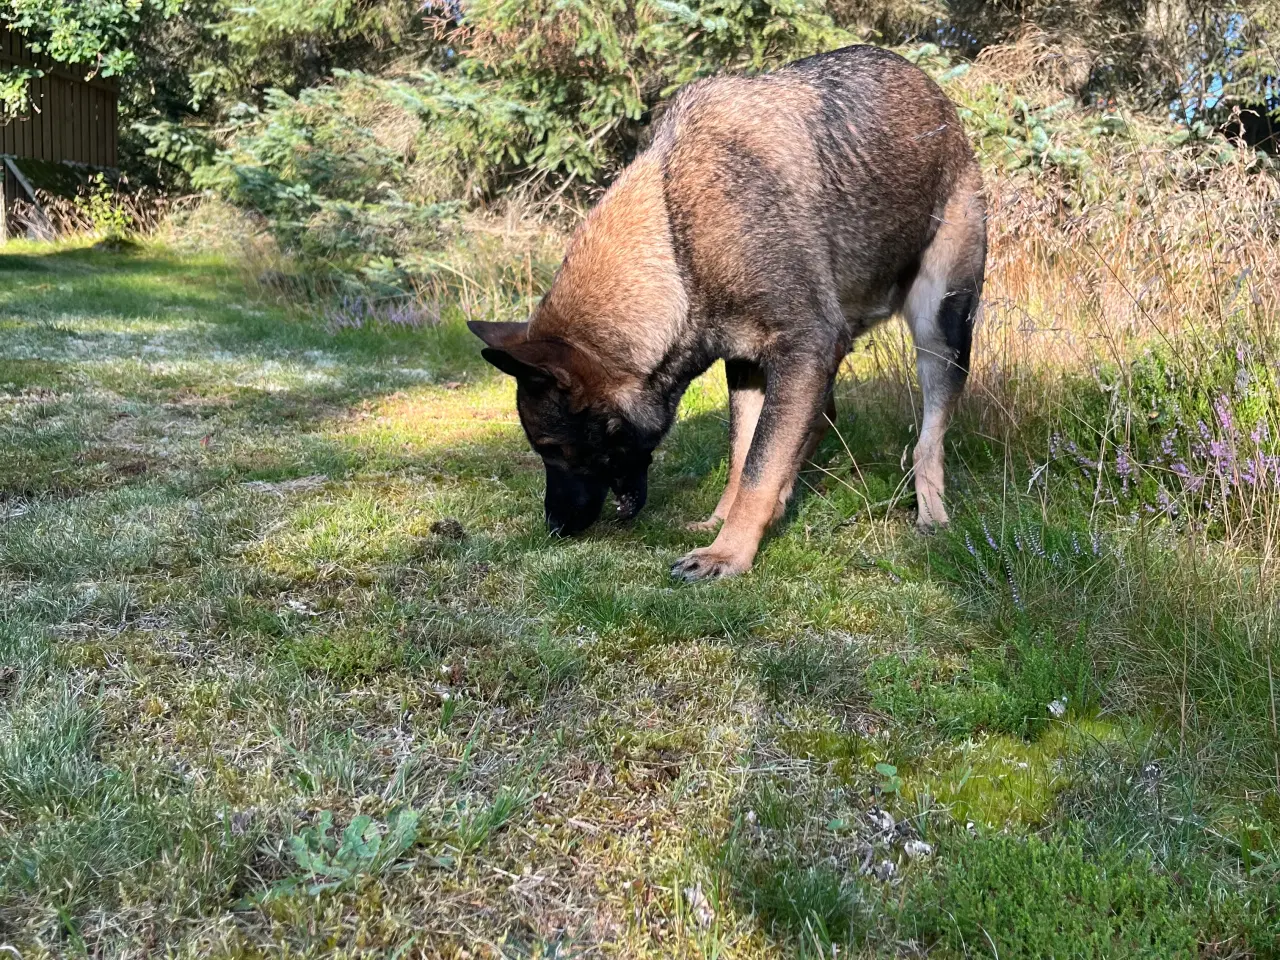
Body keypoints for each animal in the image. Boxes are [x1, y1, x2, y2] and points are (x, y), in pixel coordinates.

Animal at [473, 45, 988, 578]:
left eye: (551, 449)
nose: (554, 526)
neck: (677, 241)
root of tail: (938, 100)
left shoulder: (803, 351)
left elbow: (761, 464)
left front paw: (729, 552)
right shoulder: (748, 365)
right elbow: (745, 457)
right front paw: (724, 525)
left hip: (941, 330)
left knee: (927, 439)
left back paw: (931, 515)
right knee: (822, 419)